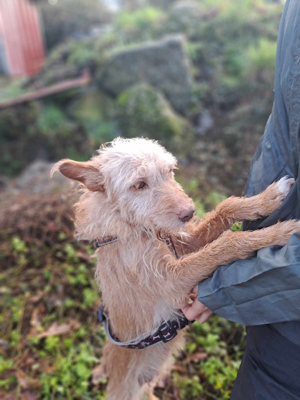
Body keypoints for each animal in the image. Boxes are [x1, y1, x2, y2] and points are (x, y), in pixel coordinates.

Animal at [52, 138, 298, 400]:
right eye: (139, 184)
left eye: (169, 171)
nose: (189, 212)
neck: (134, 230)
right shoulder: (171, 280)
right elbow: (226, 243)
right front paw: (279, 233)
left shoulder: (185, 244)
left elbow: (225, 207)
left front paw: (269, 198)